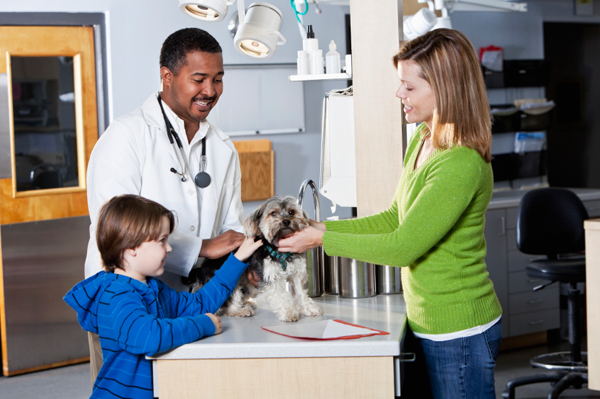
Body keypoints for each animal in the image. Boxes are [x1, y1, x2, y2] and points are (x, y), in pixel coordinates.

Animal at [183, 195, 324, 324]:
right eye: (273, 213)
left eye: (291, 212)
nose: (286, 221)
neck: (281, 252)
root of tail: (202, 269)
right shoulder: (270, 277)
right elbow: (280, 296)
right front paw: (288, 313)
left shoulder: (296, 274)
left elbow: (301, 293)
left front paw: (310, 308)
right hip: (227, 281)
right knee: (229, 305)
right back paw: (241, 310)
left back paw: (248, 303)